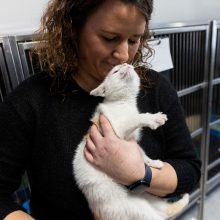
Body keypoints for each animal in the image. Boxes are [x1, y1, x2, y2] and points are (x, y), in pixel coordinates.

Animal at [72, 63, 189, 220]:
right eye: (115, 71)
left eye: (127, 65)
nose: (125, 64)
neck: (125, 103)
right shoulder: (117, 128)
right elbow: (135, 118)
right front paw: (153, 118)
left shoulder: (132, 140)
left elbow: (141, 154)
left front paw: (153, 163)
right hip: (137, 208)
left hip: (150, 199)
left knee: (166, 211)